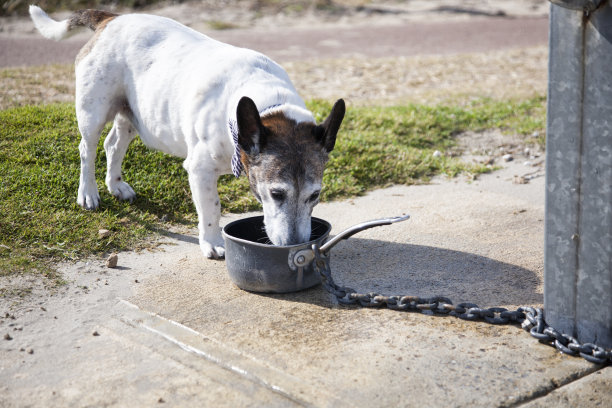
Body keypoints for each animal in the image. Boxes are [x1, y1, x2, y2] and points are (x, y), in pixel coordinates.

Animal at [29, 5, 344, 258]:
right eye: (277, 194)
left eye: (315, 195)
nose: (295, 243)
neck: (265, 106)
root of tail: (111, 19)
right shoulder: (200, 169)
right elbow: (212, 208)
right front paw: (213, 241)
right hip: (93, 110)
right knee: (88, 148)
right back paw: (88, 192)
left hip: (134, 113)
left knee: (113, 144)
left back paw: (116, 184)